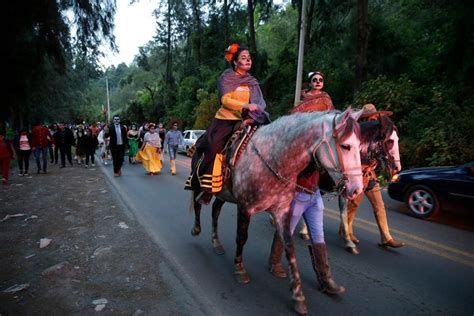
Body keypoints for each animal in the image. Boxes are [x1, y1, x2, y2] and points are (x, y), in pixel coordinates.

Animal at [189, 108, 362, 314]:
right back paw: (196, 229)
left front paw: (298, 295)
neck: (274, 159)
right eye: (346, 146)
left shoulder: (281, 212)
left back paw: (216, 243)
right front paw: (240, 269)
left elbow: (289, 246)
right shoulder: (245, 208)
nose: (357, 189)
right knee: (197, 202)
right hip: (200, 182)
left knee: (215, 210)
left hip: (223, 193)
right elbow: (241, 238)